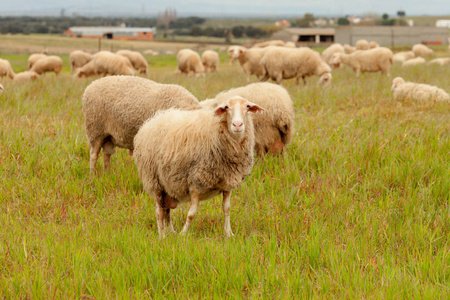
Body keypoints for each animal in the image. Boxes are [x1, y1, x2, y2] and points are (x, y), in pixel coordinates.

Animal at [133, 97, 264, 238]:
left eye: (247, 106)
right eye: (226, 107)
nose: (238, 125)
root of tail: (151, 120)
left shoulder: (227, 183)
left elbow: (227, 209)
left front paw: (229, 233)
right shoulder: (196, 182)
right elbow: (191, 214)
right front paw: (183, 234)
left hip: (167, 186)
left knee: (166, 210)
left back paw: (171, 232)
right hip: (154, 181)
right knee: (159, 212)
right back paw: (162, 236)